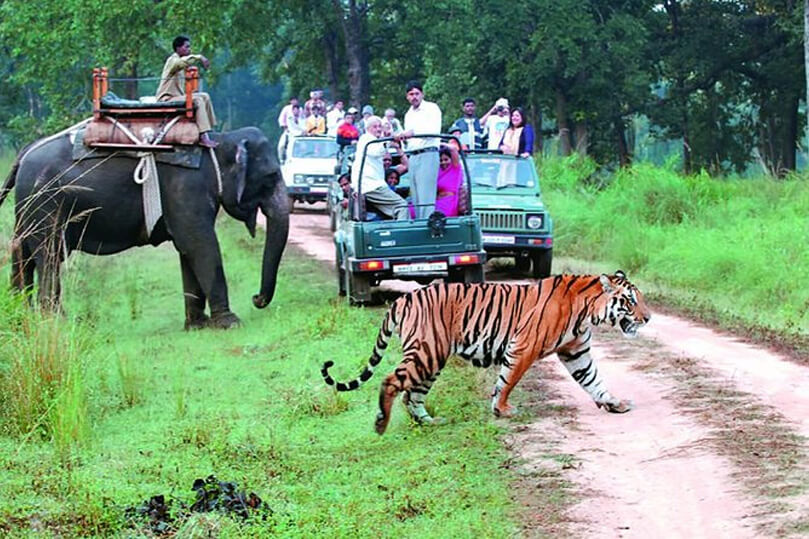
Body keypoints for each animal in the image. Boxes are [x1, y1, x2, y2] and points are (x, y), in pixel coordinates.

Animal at [0, 126, 290, 330]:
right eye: (271, 177)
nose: (256, 298)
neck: (219, 141)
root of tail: (24, 154)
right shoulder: (186, 187)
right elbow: (200, 244)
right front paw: (230, 323)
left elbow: (187, 249)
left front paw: (198, 325)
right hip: (46, 203)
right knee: (49, 255)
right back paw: (56, 321)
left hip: (27, 208)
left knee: (23, 254)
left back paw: (22, 316)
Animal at [322, 272, 652, 436]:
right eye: (630, 301)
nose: (648, 318)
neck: (588, 311)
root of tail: (403, 299)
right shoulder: (523, 347)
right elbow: (508, 380)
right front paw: (502, 409)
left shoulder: (576, 352)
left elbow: (593, 380)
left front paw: (614, 403)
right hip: (427, 352)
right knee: (391, 382)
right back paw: (381, 423)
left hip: (432, 358)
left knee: (411, 394)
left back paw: (429, 422)